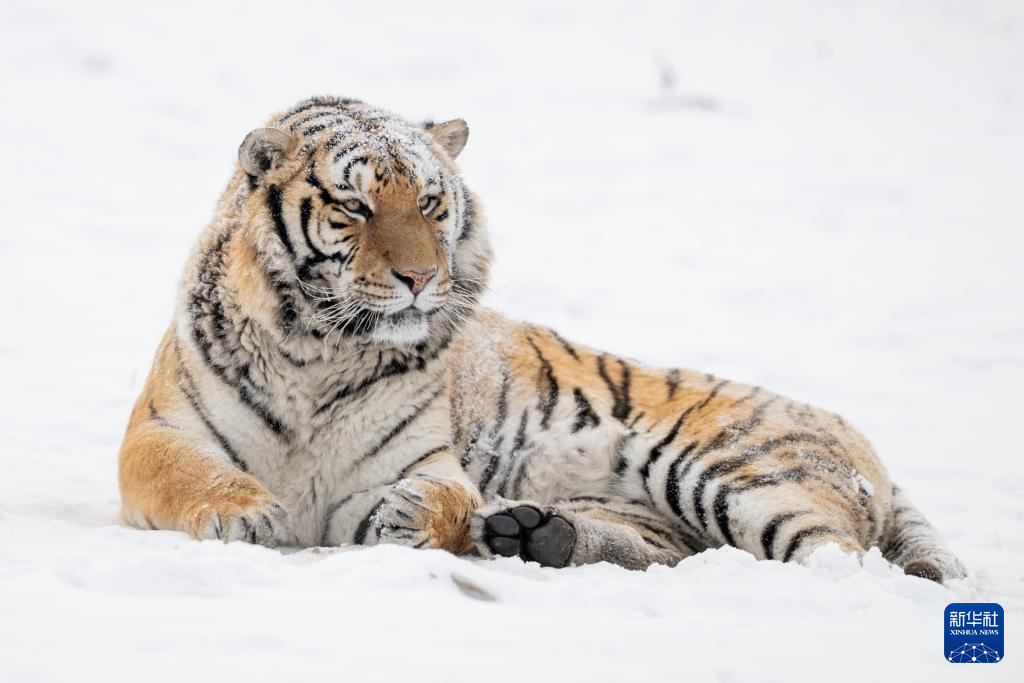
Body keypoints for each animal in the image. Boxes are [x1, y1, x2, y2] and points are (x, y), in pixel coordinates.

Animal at [119, 95, 966, 584]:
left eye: (431, 204)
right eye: (355, 207)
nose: (419, 277)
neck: (318, 350)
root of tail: (850, 430)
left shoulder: (412, 460)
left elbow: (440, 494)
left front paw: (414, 518)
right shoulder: (160, 429)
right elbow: (186, 473)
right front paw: (247, 515)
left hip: (732, 467)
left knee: (838, 555)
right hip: (663, 509)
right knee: (670, 546)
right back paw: (532, 531)